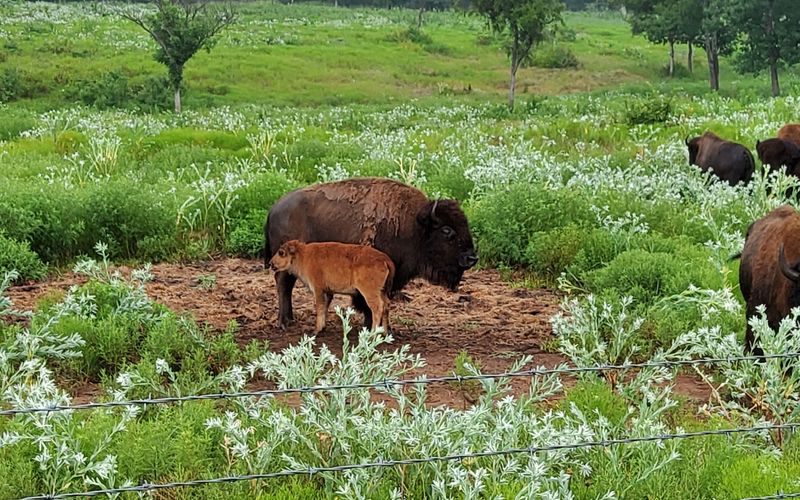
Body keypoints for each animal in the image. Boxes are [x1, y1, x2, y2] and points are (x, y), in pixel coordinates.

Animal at [265, 177, 479, 329]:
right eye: (447, 230)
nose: (472, 258)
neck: (414, 226)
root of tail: (274, 209)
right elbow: (368, 304)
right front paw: (369, 326)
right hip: (283, 264)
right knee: (283, 286)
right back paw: (284, 322)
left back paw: (290, 320)